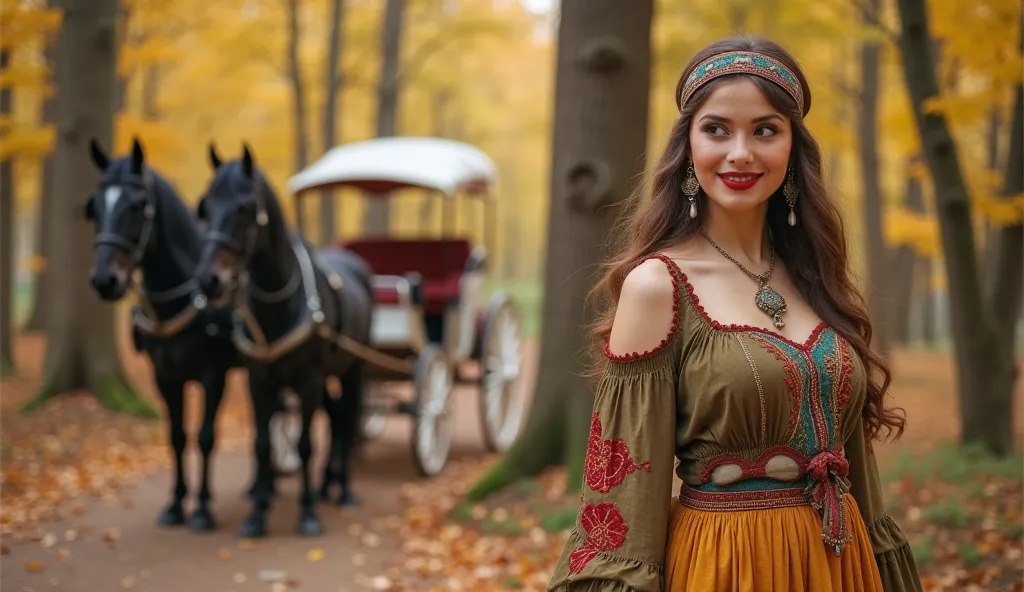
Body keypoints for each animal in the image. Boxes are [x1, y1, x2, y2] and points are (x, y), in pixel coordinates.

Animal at [84, 137, 242, 528]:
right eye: (94, 207)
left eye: (138, 205)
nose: (105, 280)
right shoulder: (165, 375)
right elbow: (176, 436)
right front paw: (175, 503)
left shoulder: (214, 375)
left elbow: (205, 437)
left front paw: (202, 508)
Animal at [193, 141, 374, 532]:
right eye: (205, 206)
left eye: (245, 206)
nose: (208, 280)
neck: (279, 303)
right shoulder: (259, 381)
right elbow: (262, 444)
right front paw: (257, 514)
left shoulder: (308, 380)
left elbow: (305, 444)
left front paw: (307, 513)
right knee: (336, 419)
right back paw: (326, 485)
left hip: (353, 369)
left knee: (348, 421)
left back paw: (344, 490)